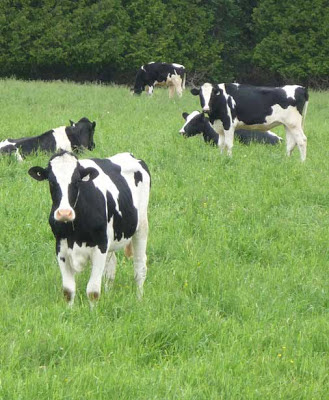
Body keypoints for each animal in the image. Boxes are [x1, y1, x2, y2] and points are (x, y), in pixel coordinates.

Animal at [27, 152, 151, 304]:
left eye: (76, 181)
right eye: (51, 181)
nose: (64, 213)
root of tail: (130, 155)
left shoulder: (100, 247)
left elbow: (93, 291)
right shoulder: (61, 248)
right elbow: (68, 291)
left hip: (141, 227)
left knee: (140, 266)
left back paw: (139, 299)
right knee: (111, 267)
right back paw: (108, 295)